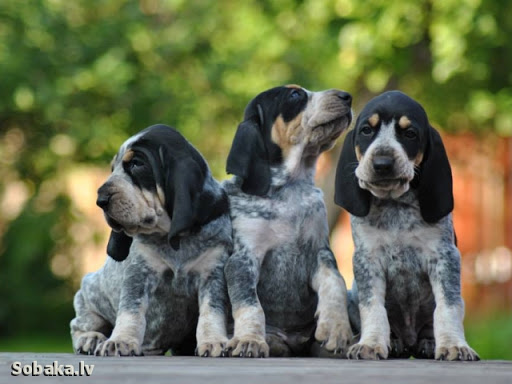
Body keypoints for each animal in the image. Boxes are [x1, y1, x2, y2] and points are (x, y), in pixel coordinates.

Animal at [71, 125, 231, 356]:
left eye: (137, 164)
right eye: (113, 169)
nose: (100, 200)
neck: (173, 239)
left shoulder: (213, 273)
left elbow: (212, 312)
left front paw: (213, 341)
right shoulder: (139, 274)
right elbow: (131, 311)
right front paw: (120, 341)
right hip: (89, 292)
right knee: (80, 325)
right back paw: (91, 339)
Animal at [223, 85, 352, 358]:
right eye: (294, 95)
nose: (347, 97)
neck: (291, 188)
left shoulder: (320, 252)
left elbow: (335, 282)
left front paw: (336, 328)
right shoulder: (243, 259)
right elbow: (250, 305)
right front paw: (249, 340)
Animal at [336, 91, 480, 362]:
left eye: (410, 133)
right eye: (366, 131)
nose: (382, 163)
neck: (395, 205)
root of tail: (409, 342)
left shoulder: (444, 258)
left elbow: (447, 306)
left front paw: (454, 345)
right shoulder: (367, 260)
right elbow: (372, 307)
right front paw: (371, 343)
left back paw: (429, 343)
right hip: (351, 295)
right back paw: (392, 342)